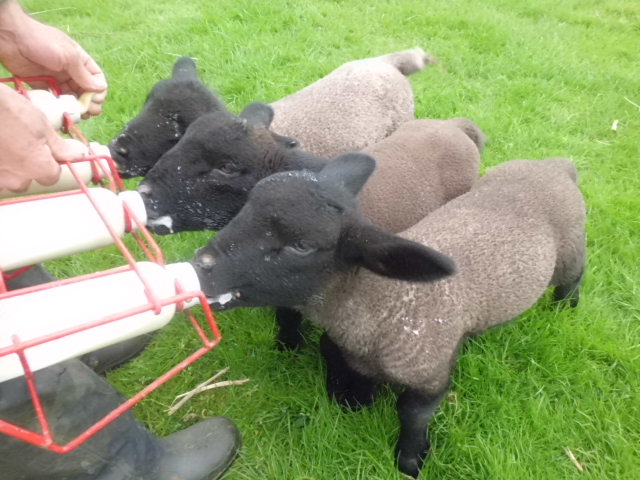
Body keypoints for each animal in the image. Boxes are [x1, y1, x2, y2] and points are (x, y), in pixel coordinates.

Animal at [192, 155, 588, 476]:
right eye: (244, 209)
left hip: (570, 250)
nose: (199, 266)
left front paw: (411, 461)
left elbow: (412, 415)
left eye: (301, 246)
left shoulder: (430, 377)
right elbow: (343, 375)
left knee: (574, 277)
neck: (384, 303)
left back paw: (565, 307)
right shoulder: (346, 351)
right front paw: (358, 402)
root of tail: (556, 165)